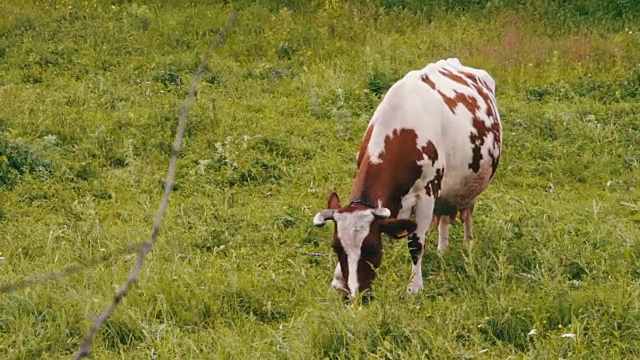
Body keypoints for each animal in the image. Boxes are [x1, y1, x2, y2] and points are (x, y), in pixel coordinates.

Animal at [312, 58, 502, 298]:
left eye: (371, 247)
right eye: (336, 247)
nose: (356, 294)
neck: (403, 132)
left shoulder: (427, 194)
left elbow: (416, 243)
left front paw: (414, 287)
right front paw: (338, 279)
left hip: (470, 188)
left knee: (467, 214)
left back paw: (468, 248)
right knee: (444, 217)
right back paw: (442, 249)